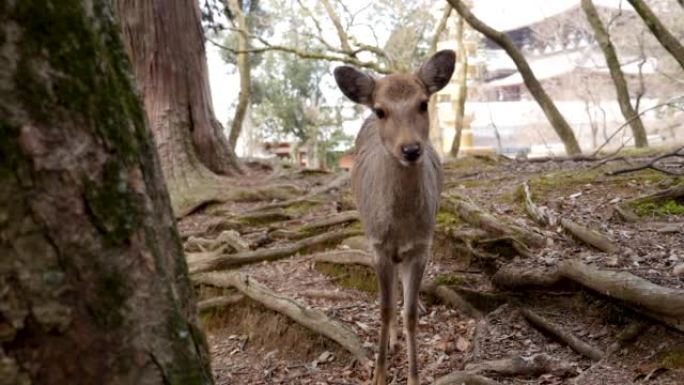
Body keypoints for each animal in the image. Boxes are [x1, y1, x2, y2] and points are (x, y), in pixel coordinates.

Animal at [336, 49, 456, 382]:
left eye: (423, 103)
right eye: (381, 110)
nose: (411, 149)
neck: (401, 224)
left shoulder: (421, 246)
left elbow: (410, 313)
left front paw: (415, 376)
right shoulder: (378, 245)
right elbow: (385, 309)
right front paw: (378, 375)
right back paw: (391, 340)